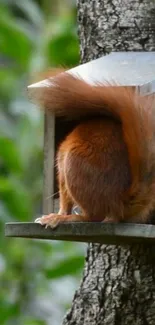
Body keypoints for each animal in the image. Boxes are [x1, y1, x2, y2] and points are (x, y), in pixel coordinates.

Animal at [34, 72, 155, 227]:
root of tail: (119, 203)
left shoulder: (61, 166)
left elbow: (64, 200)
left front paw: (57, 215)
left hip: (74, 165)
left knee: (94, 216)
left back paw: (70, 218)